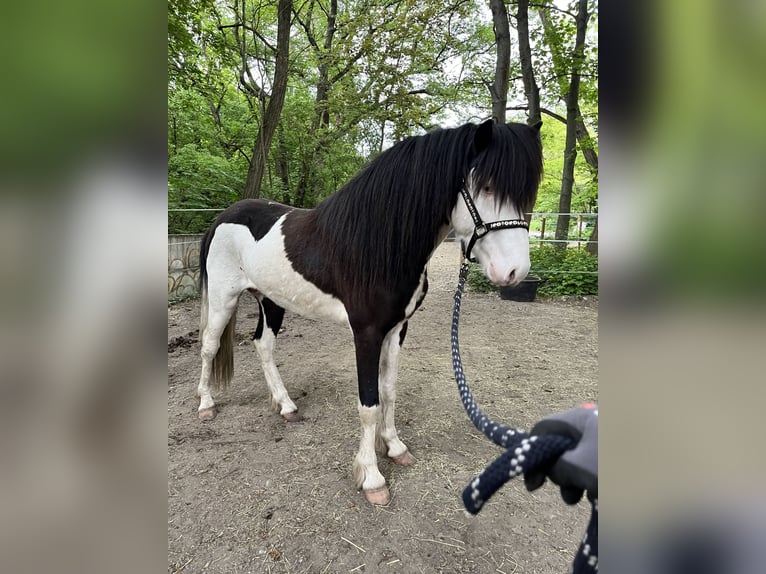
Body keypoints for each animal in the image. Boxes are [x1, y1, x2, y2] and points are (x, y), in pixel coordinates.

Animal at [198, 119, 544, 506]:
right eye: (485, 186)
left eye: (527, 193)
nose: (515, 272)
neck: (378, 243)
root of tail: (223, 218)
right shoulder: (366, 333)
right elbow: (369, 403)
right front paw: (372, 477)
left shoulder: (397, 330)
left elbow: (388, 390)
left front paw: (394, 447)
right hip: (224, 298)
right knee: (209, 346)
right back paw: (206, 404)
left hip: (271, 300)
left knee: (263, 346)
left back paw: (285, 405)